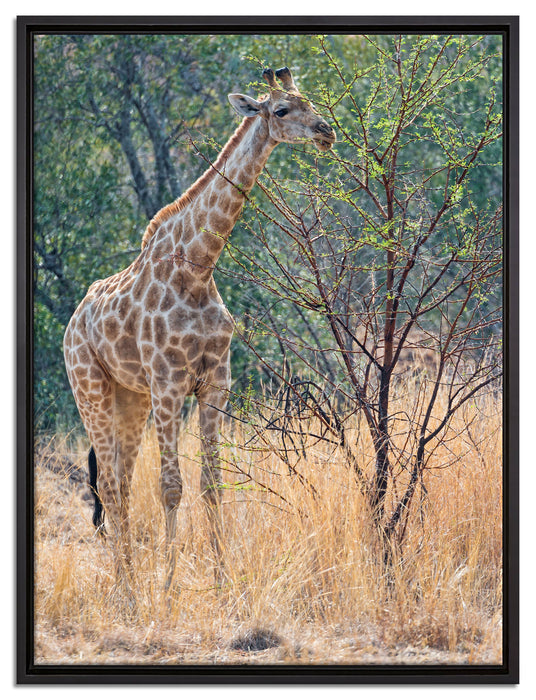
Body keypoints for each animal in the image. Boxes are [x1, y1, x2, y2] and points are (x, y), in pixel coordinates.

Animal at [63, 67, 336, 590]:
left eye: (310, 102)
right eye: (281, 110)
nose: (326, 131)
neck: (197, 268)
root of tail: (72, 324)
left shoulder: (214, 383)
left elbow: (213, 484)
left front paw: (223, 581)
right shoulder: (170, 384)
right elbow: (171, 486)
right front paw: (169, 586)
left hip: (131, 398)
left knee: (120, 482)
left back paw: (129, 582)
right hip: (91, 390)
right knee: (107, 482)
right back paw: (128, 589)